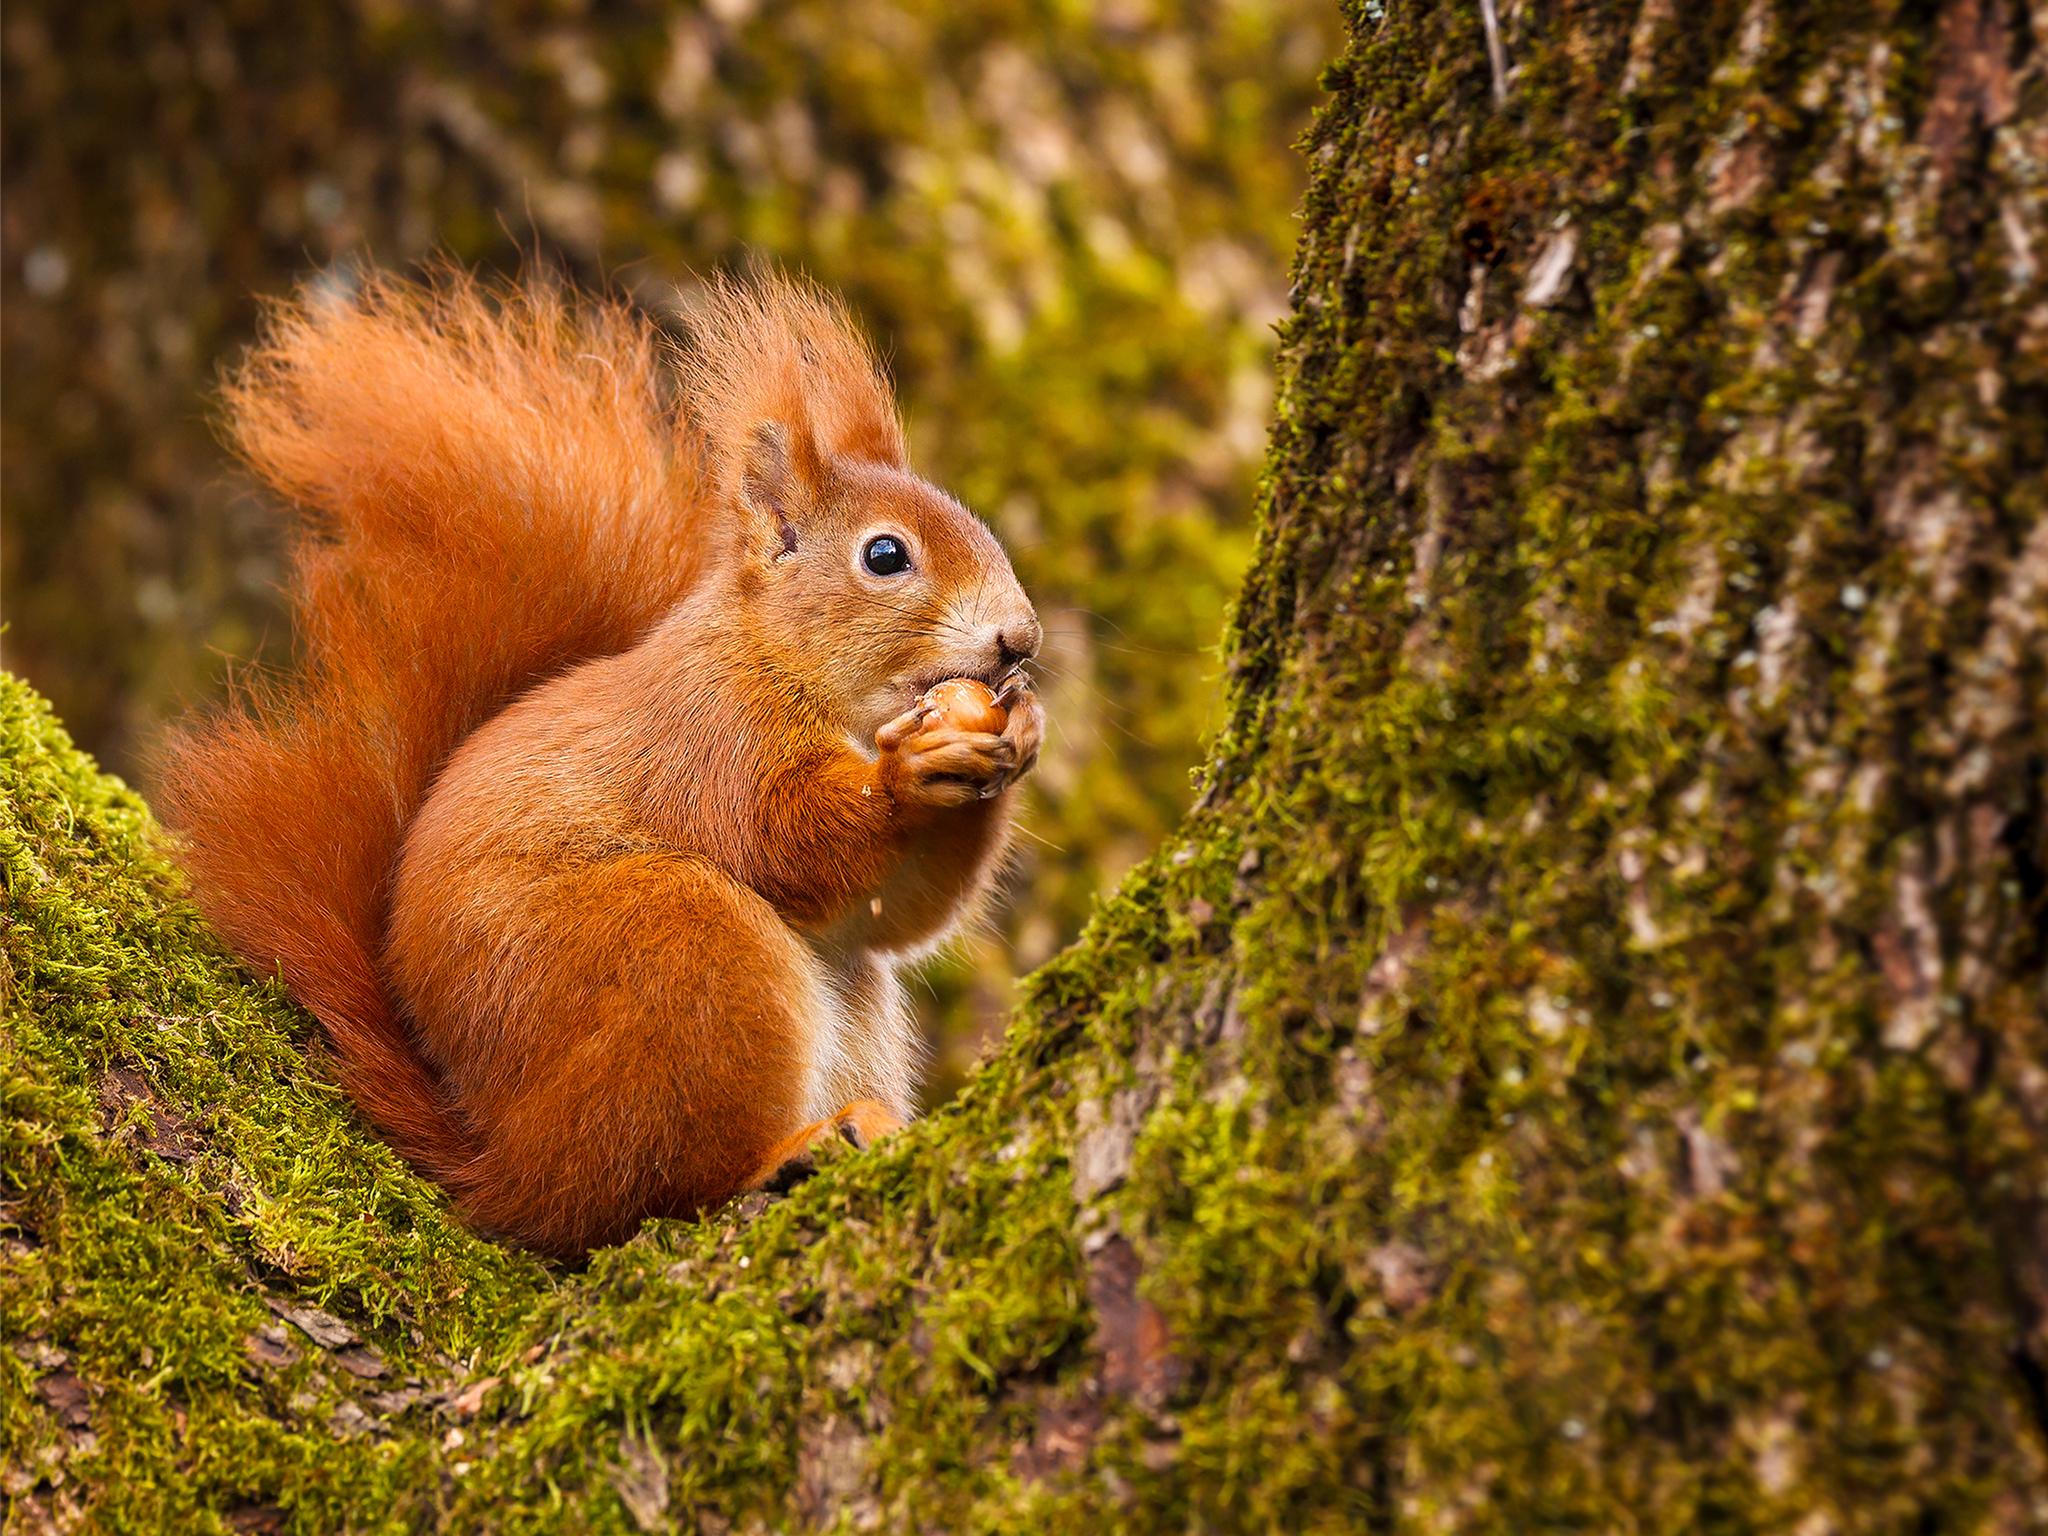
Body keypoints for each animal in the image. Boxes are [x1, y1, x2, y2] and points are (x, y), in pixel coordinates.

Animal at [161, 270, 1048, 1253]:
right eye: (885, 555)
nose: (1020, 640)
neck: (783, 662)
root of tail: (499, 1163)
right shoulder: (711, 739)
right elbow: (787, 840)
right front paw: (906, 777)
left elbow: (900, 911)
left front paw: (1018, 735)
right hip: (682, 954)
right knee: (643, 1193)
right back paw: (785, 1152)